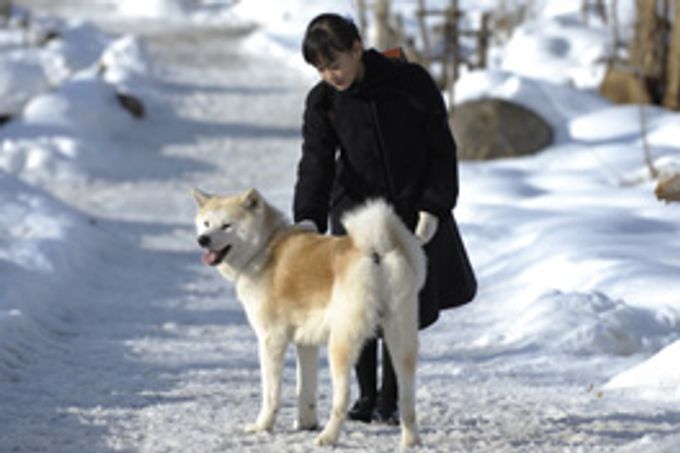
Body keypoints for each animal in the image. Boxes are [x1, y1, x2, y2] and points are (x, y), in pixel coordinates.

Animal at [191, 188, 424, 448]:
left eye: (226, 225)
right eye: (206, 223)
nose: (203, 240)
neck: (264, 247)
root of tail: (375, 249)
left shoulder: (271, 340)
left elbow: (271, 394)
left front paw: (263, 426)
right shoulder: (306, 343)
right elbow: (305, 390)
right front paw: (306, 424)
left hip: (341, 344)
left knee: (342, 398)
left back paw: (328, 437)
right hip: (401, 339)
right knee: (407, 399)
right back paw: (411, 441)